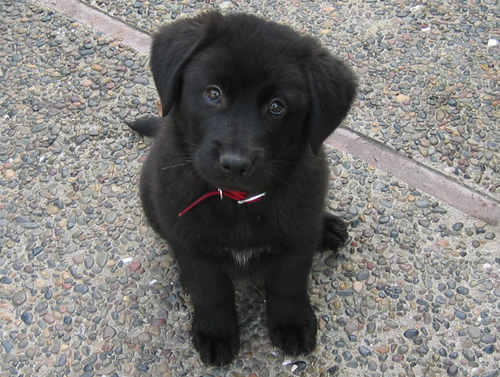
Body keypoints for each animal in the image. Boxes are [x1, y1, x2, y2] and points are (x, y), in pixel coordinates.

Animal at [129, 11, 356, 364]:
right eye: (213, 93)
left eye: (276, 106)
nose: (235, 163)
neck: (238, 202)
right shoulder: (191, 244)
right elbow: (211, 292)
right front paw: (215, 333)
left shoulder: (297, 239)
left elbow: (288, 284)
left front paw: (292, 324)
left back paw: (328, 227)